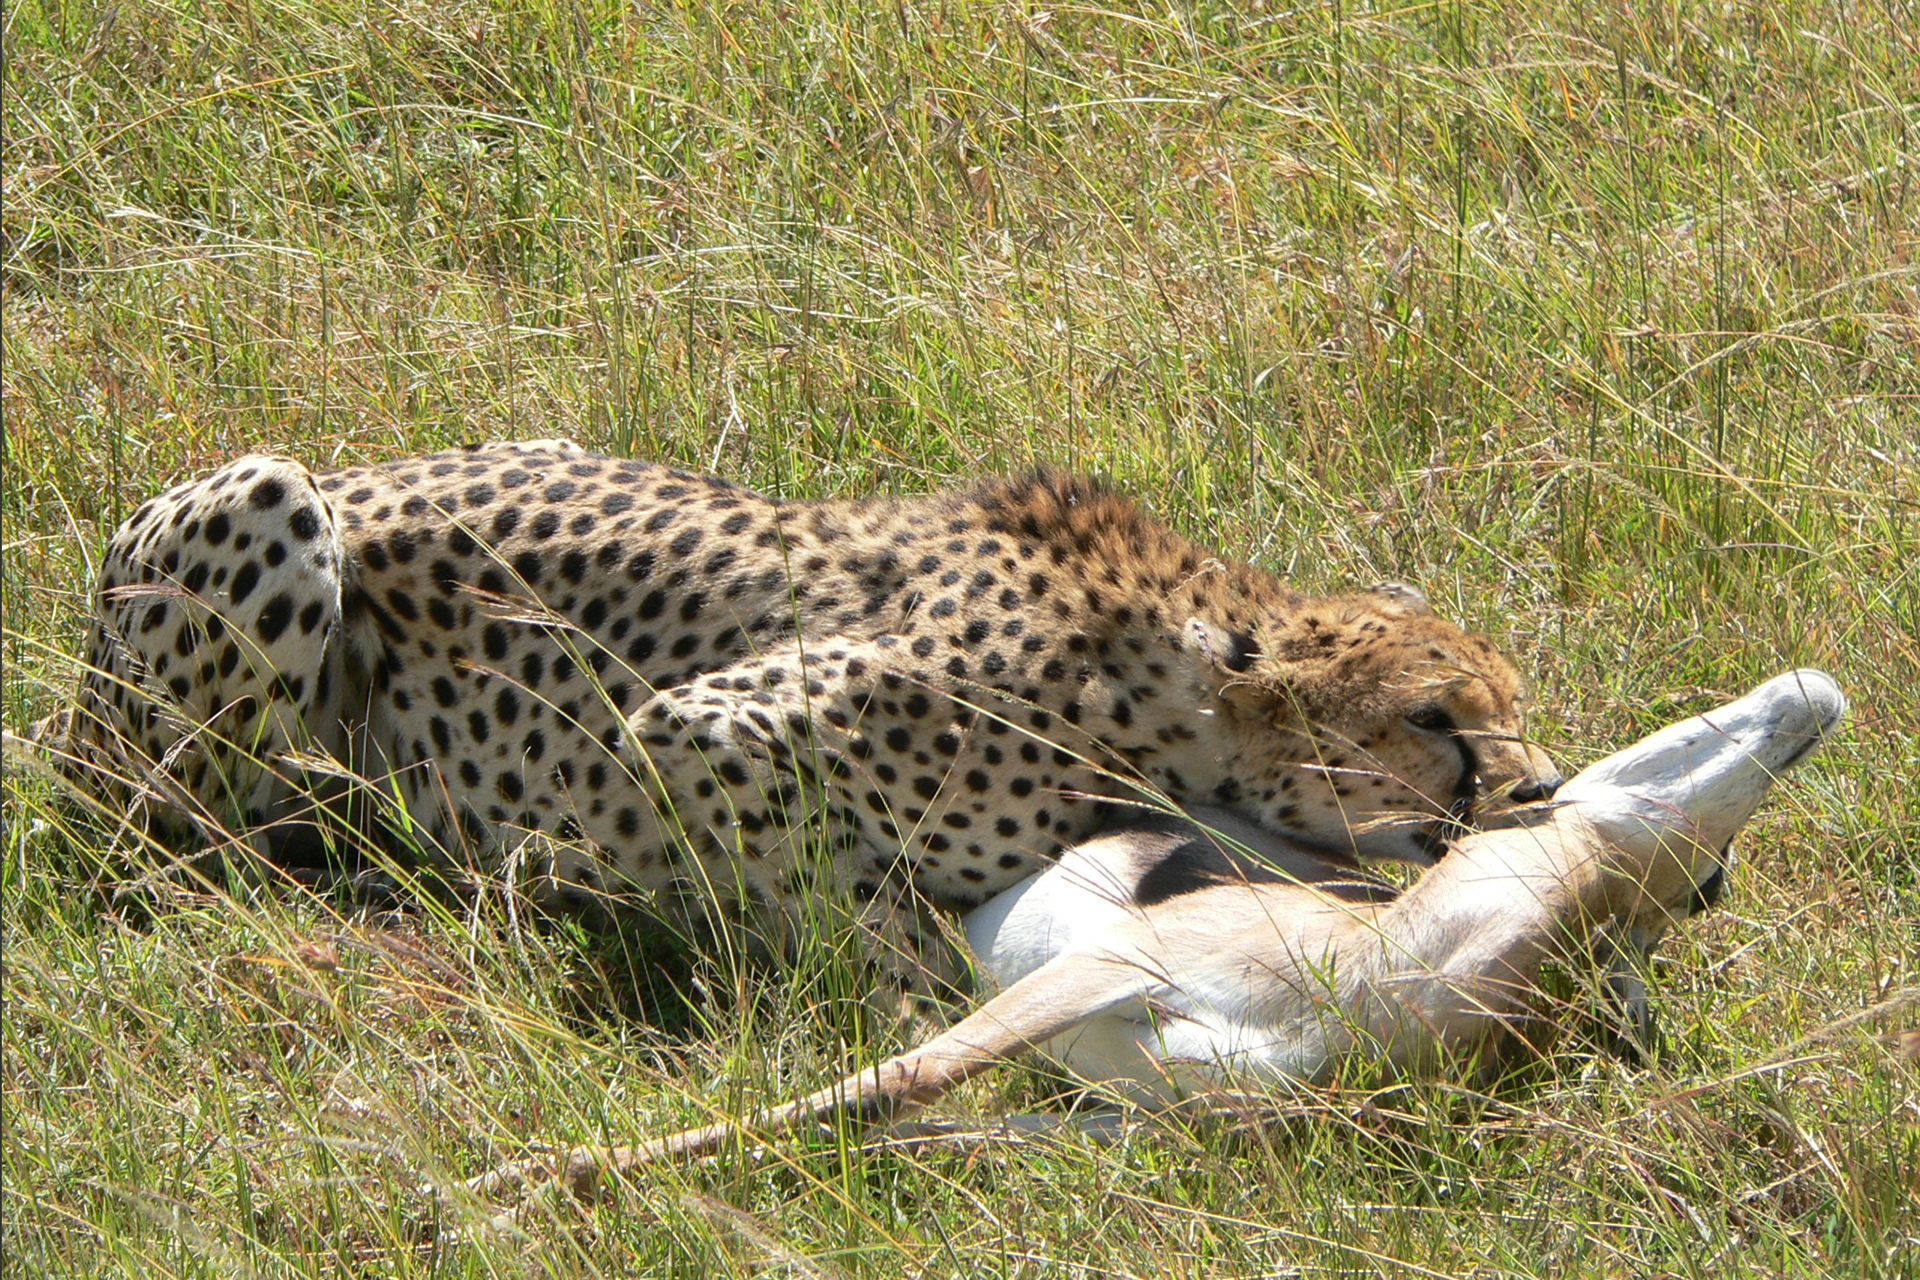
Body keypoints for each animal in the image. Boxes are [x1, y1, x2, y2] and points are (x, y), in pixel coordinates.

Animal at [22, 441, 1560, 960]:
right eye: (1437, 720)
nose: (1542, 789)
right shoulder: (686, 735)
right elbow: (863, 911)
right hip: (271, 504)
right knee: (181, 836)